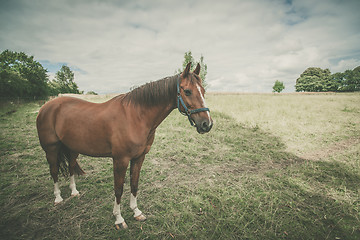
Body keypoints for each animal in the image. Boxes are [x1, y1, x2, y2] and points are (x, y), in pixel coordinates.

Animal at [35, 62, 211, 229]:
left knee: (71, 167)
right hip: (51, 149)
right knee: (54, 171)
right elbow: (118, 189)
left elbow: (134, 184)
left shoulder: (139, 158)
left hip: (72, 149)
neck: (136, 116)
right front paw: (119, 219)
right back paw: (58, 198)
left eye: (203, 91)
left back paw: (74, 192)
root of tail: (46, 106)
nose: (207, 124)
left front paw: (137, 212)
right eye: (187, 91)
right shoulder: (120, 160)